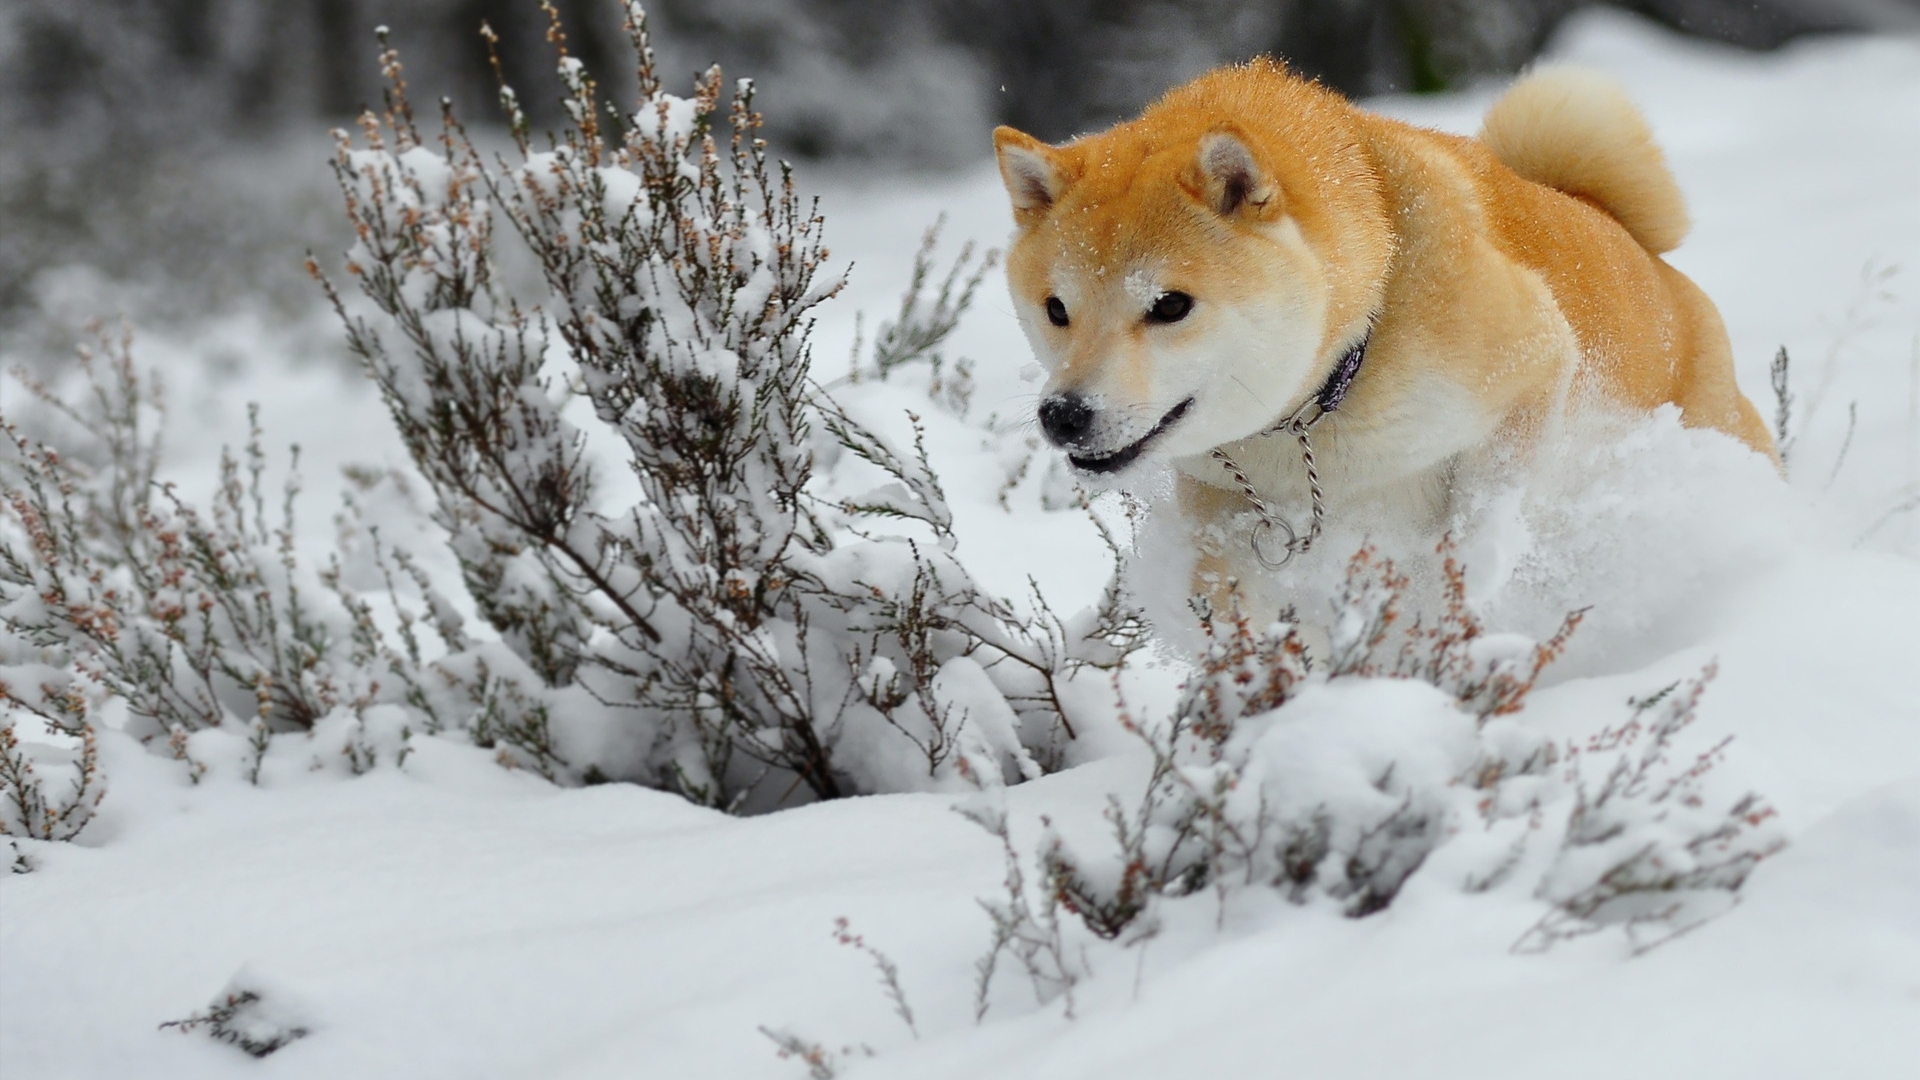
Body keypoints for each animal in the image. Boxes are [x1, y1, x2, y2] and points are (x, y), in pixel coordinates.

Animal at [998, 65, 1774, 607]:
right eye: (1057, 309)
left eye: (1169, 305)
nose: (1064, 415)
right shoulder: (1221, 495)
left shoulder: (1535, 362)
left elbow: (1482, 514)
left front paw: (1464, 587)